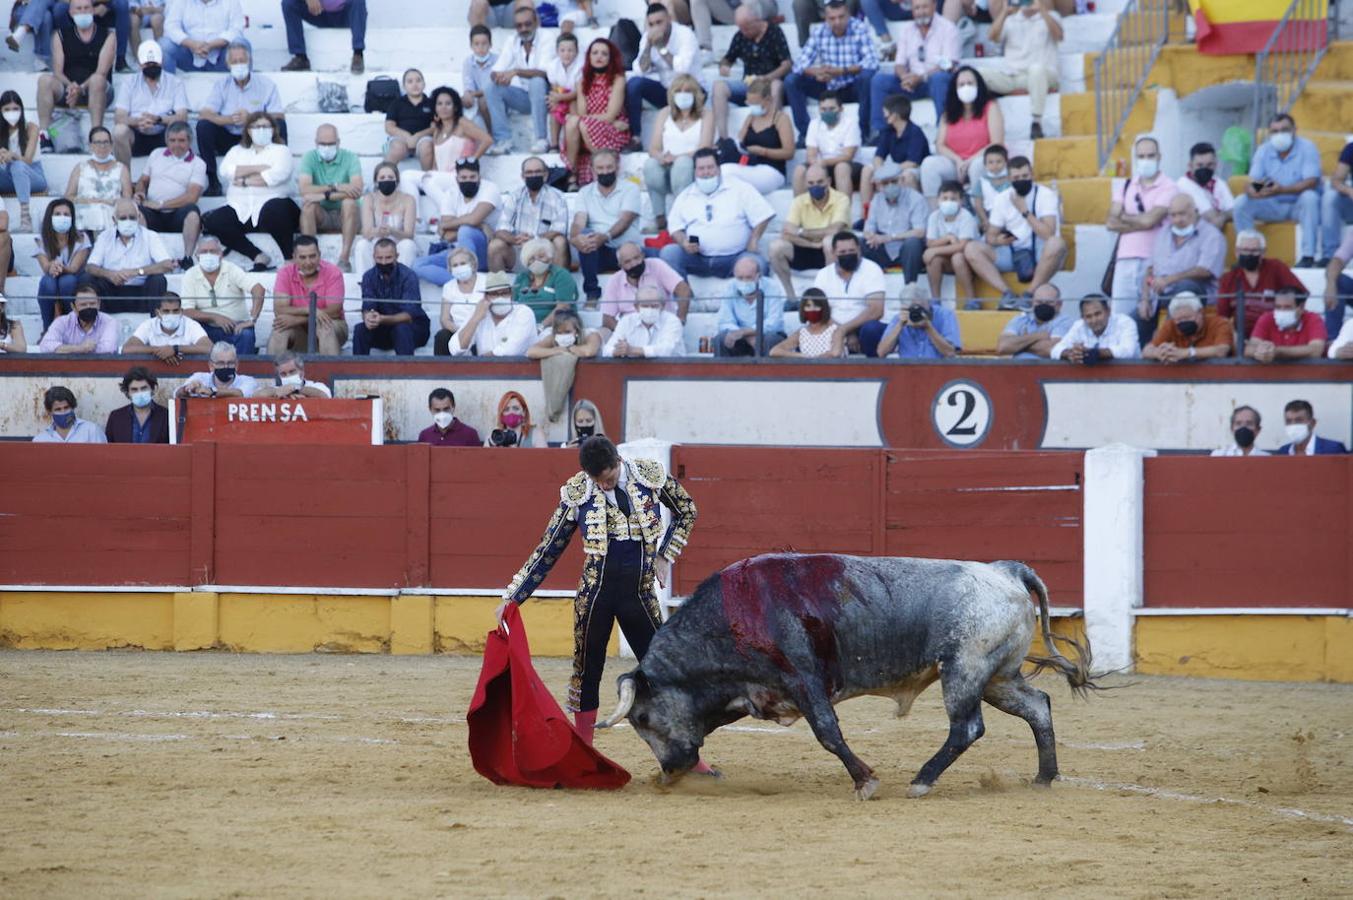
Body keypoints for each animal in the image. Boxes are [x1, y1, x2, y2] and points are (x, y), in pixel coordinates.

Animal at [598, 552, 1093, 795]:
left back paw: (922, 781)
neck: (732, 616)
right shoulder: (753, 691)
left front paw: (866, 781)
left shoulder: (803, 679)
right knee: (1038, 706)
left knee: (967, 727)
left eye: (642, 718)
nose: (668, 770)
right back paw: (1045, 778)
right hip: (997, 677)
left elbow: (827, 732)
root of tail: (1005, 572)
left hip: (965, 670)